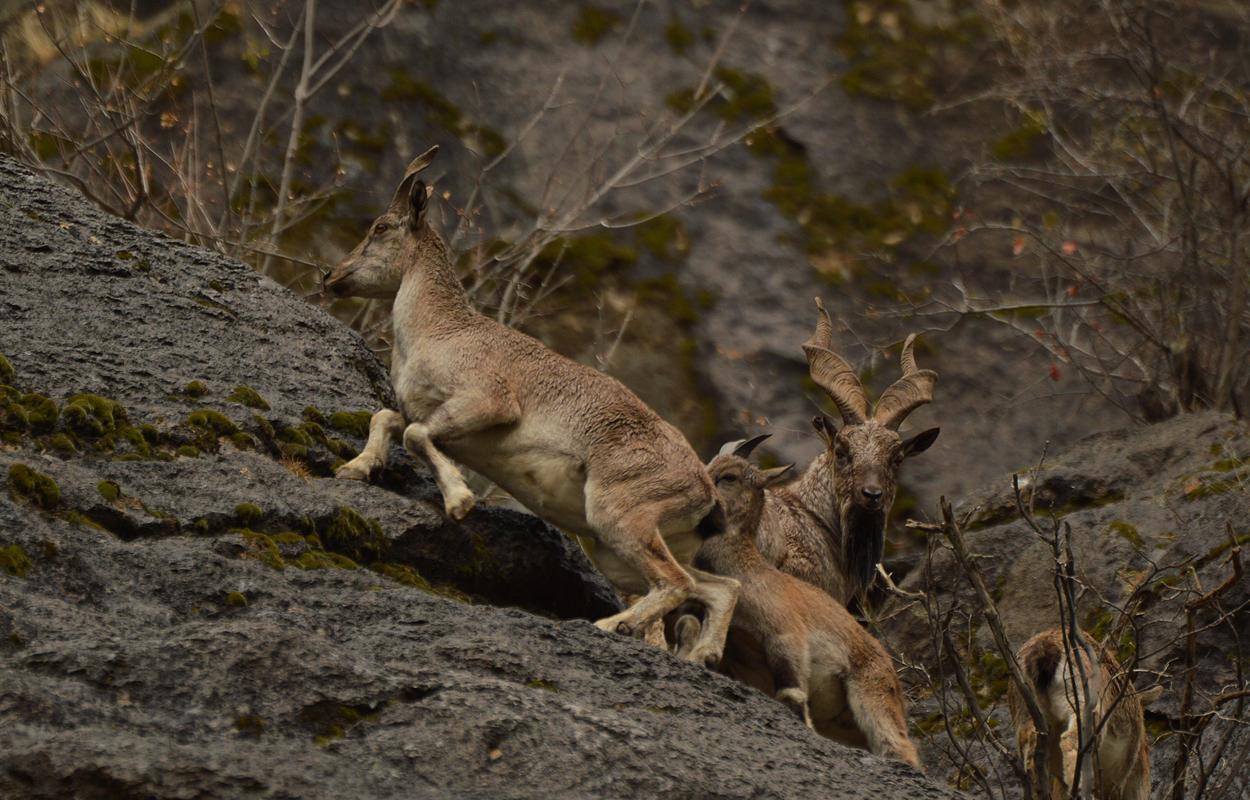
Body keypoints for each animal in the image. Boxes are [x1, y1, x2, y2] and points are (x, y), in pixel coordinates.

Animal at [321, 146, 738, 666]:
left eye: (380, 227)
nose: (331, 276)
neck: (439, 330)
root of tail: (705, 494)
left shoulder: (489, 400)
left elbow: (417, 435)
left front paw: (459, 501)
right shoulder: (429, 410)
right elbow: (388, 419)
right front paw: (354, 469)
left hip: (620, 515)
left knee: (676, 583)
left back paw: (611, 625)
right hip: (623, 546)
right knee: (721, 587)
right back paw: (702, 656)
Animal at [678, 441, 922, 769]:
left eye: (729, 477)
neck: (748, 573)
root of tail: (891, 672)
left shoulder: (786, 635)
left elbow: (792, 695)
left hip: (873, 700)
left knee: (901, 749)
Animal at [1008, 629, 1161, 800]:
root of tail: (1043, 649)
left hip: (1025, 708)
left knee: (1029, 745)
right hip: (1084, 701)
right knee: (1070, 740)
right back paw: (1080, 789)